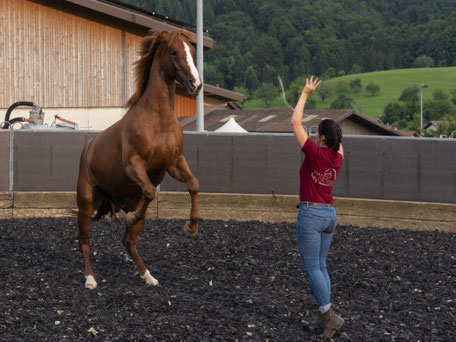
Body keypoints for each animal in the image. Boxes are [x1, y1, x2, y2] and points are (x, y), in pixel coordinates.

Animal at [76, 30, 201, 290]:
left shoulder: (174, 162)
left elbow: (193, 184)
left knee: (128, 241)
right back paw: (90, 279)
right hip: (86, 200)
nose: (195, 84)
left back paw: (148, 276)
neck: (158, 121)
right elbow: (151, 191)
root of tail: (88, 148)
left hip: (127, 199)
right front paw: (133, 217)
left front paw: (190, 228)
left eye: (192, 51)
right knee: (84, 239)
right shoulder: (134, 164)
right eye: (174, 52)